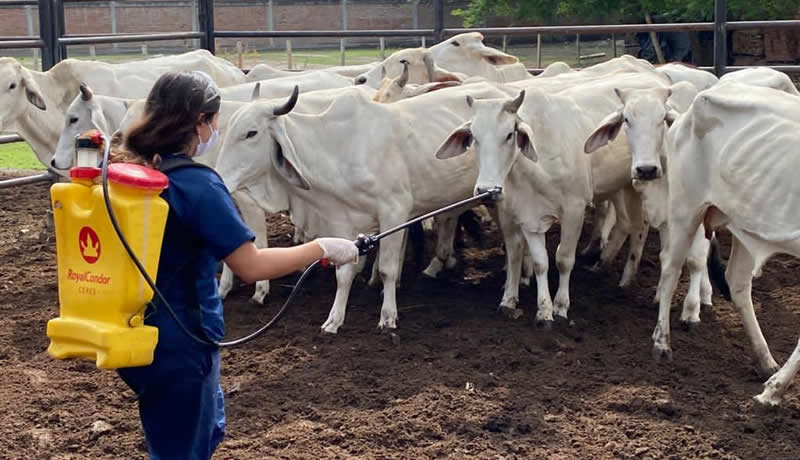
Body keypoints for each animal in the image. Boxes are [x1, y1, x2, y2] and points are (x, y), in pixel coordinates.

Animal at [214, 82, 512, 334]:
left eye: (251, 133)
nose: (218, 177)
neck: (339, 149)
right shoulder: (343, 222)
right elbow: (343, 274)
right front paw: (334, 320)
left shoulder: (394, 211)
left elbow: (388, 268)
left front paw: (388, 316)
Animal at [648, 82, 800, 406]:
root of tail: (687, 113)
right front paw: (773, 391)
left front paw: (773, 387)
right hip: (685, 209)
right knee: (670, 269)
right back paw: (662, 343)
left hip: (744, 222)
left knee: (738, 284)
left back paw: (765, 359)